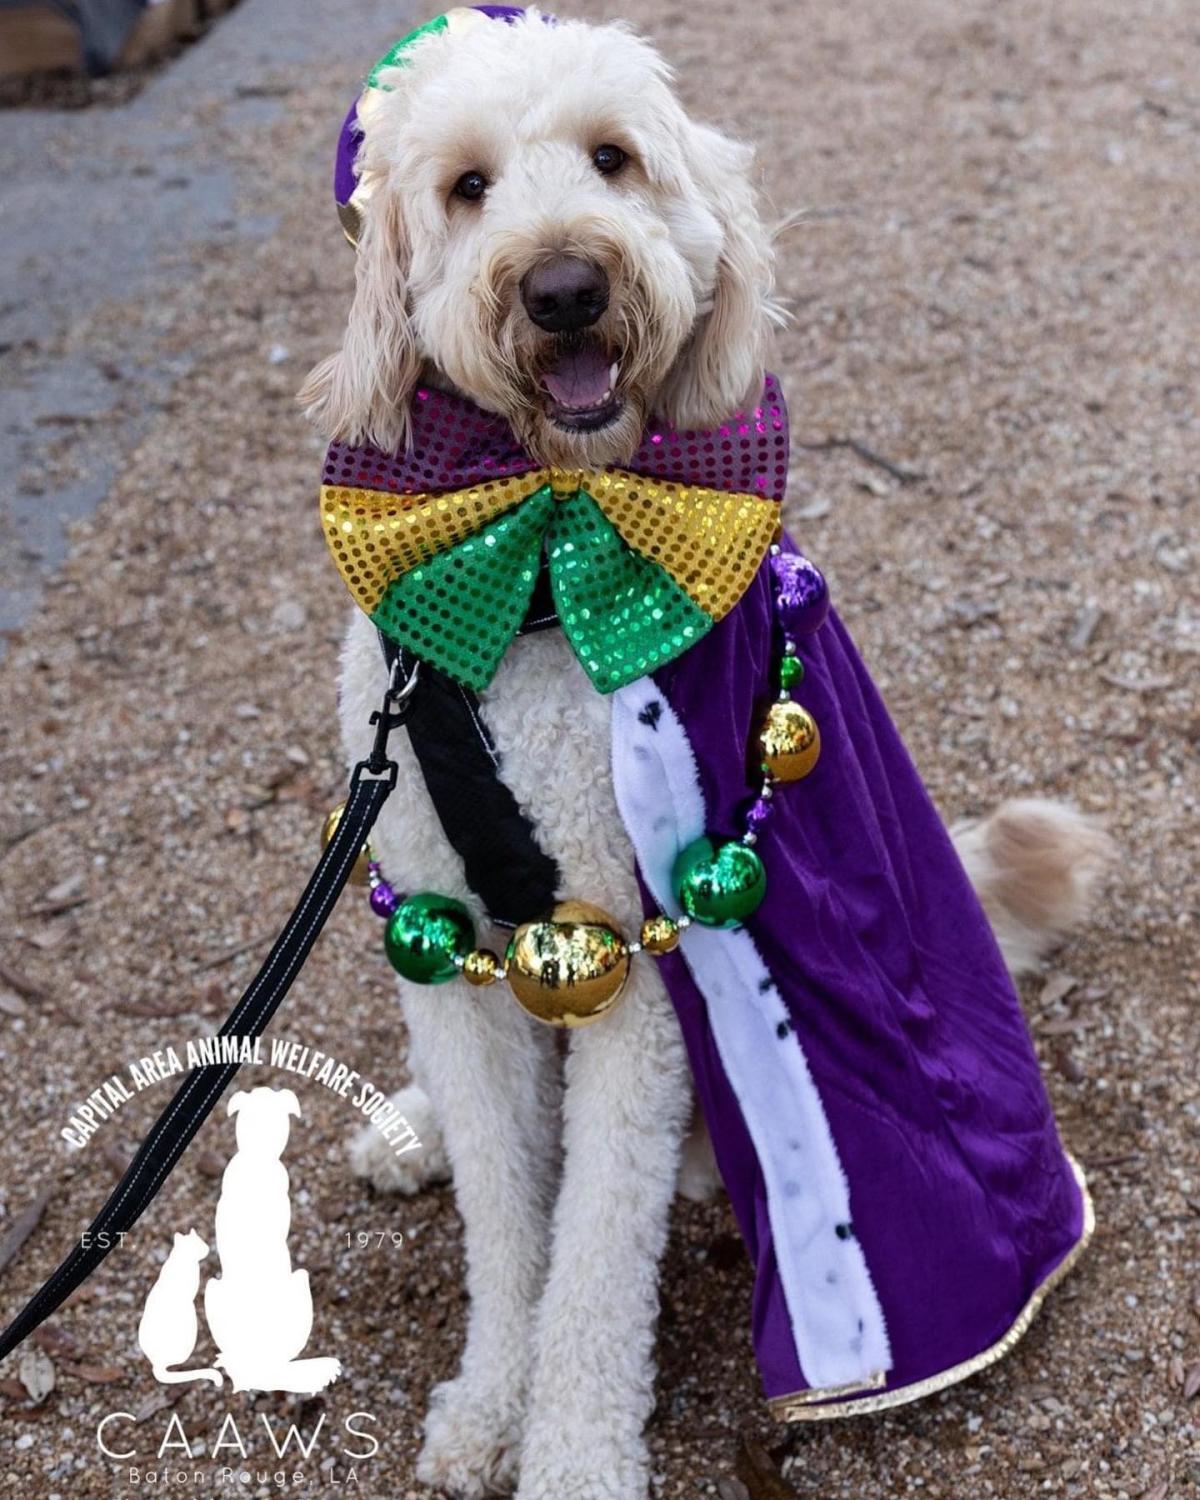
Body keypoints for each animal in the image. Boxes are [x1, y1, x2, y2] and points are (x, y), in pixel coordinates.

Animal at [297, 11, 1104, 1500]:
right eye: (467, 188)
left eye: (613, 159)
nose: (563, 288)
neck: (541, 562)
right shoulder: (443, 919)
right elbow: (510, 1217)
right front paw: (488, 1404)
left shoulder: (632, 971)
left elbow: (595, 1254)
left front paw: (569, 1453)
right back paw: (414, 1124)